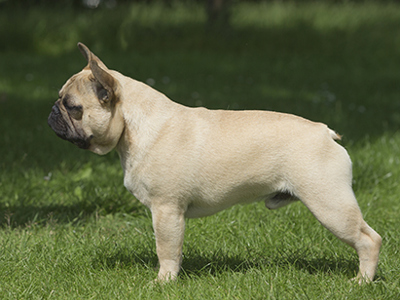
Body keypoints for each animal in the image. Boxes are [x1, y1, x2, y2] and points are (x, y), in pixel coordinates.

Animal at [47, 42, 382, 284]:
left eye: (73, 107)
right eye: (61, 100)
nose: (52, 111)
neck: (134, 125)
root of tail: (324, 132)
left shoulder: (167, 210)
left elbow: (166, 249)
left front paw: (164, 282)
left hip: (329, 203)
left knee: (369, 239)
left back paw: (362, 281)